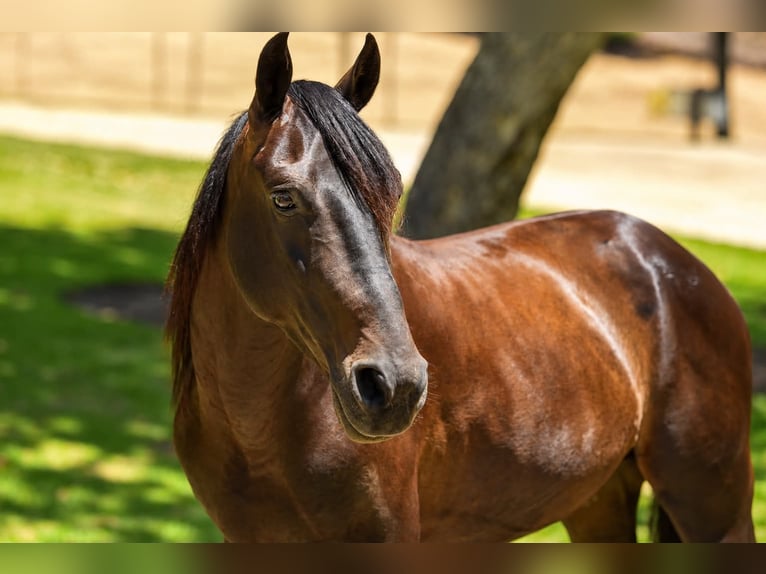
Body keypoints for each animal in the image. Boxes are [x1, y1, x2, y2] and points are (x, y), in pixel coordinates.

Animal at [165, 33, 755, 542]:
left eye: (389, 196)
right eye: (283, 197)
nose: (396, 387)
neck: (262, 426)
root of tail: (668, 258)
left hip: (715, 508)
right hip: (599, 503)